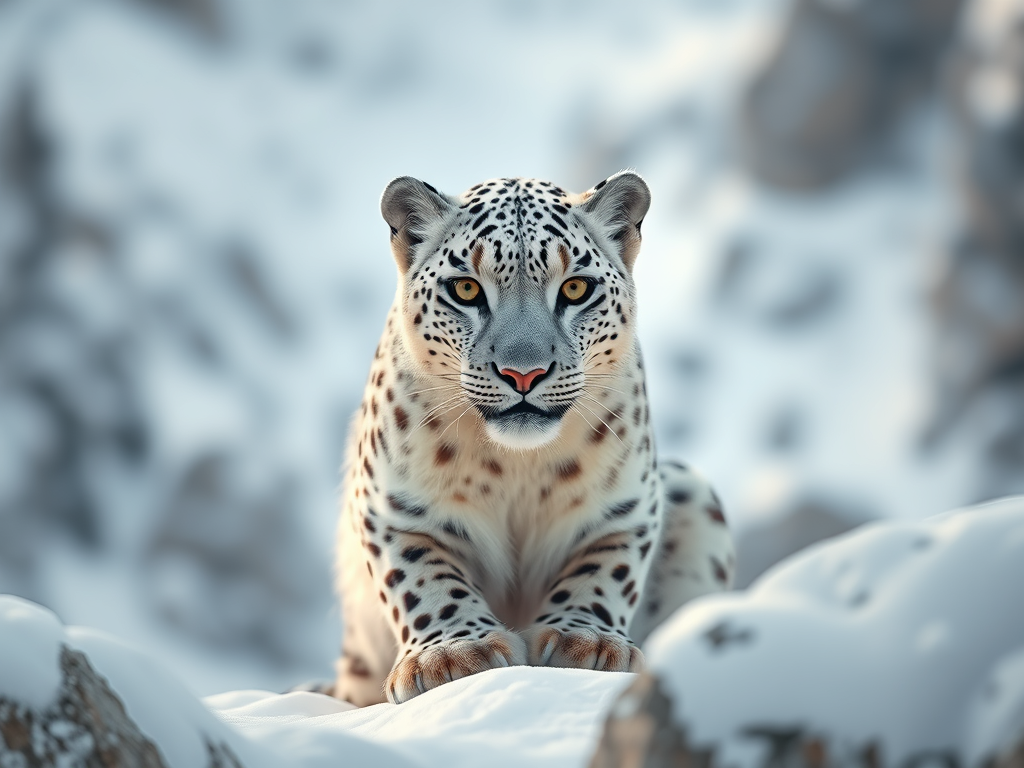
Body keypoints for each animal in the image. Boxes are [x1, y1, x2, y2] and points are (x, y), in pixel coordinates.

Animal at [333, 171, 734, 706]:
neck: (515, 468)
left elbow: (604, 571)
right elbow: (424, 577)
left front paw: (584, 641)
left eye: (576, 288)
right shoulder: (393, 507)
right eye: (466, 289)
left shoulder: (626, 508)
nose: (523, 373)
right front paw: (457, 653)